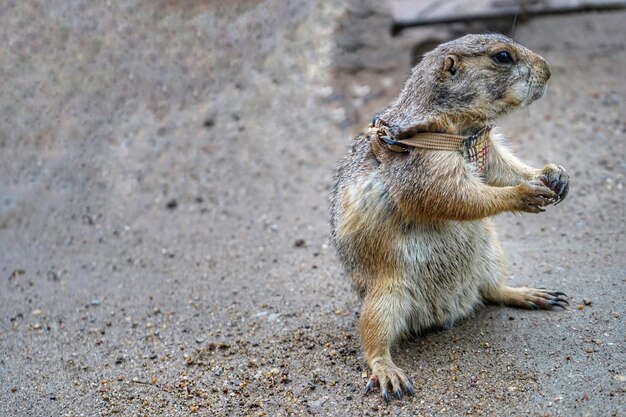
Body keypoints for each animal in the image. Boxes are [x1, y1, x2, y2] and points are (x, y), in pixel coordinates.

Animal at [330, 34, 568, 402]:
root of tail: (447, 311)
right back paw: (388, 372)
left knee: (492, 291)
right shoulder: (424, 163)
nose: (550, 70)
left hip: (491, 256)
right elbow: (450, 195)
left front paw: (553, 173)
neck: (464, 129)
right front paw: (524, 193)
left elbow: (502, 168)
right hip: (385, 294)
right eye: (503, 57)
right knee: (372, 338)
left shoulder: (488, 150)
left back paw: (529, 294)